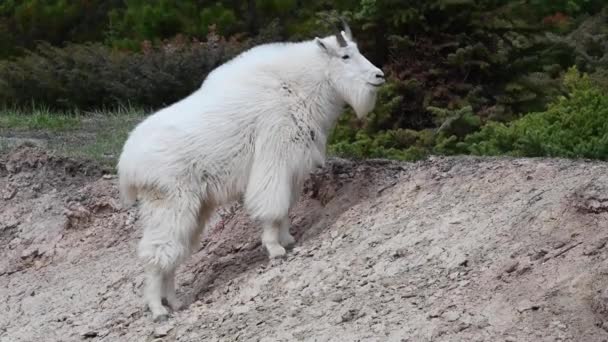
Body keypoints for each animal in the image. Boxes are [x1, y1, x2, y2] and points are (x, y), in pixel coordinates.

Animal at [117, 21, 384, 320]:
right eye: (345, 56)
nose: (379, 76)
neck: (297, 87)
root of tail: (127, 164)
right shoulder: (274, 155)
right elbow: (272, 206)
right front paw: (276, 249)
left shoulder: (292, 166)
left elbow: (286, 207)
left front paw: (288, 239)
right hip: (169, 202)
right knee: (156, 255)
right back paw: (157, 309)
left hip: (193, 210)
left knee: (173, 256)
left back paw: (174, 302)